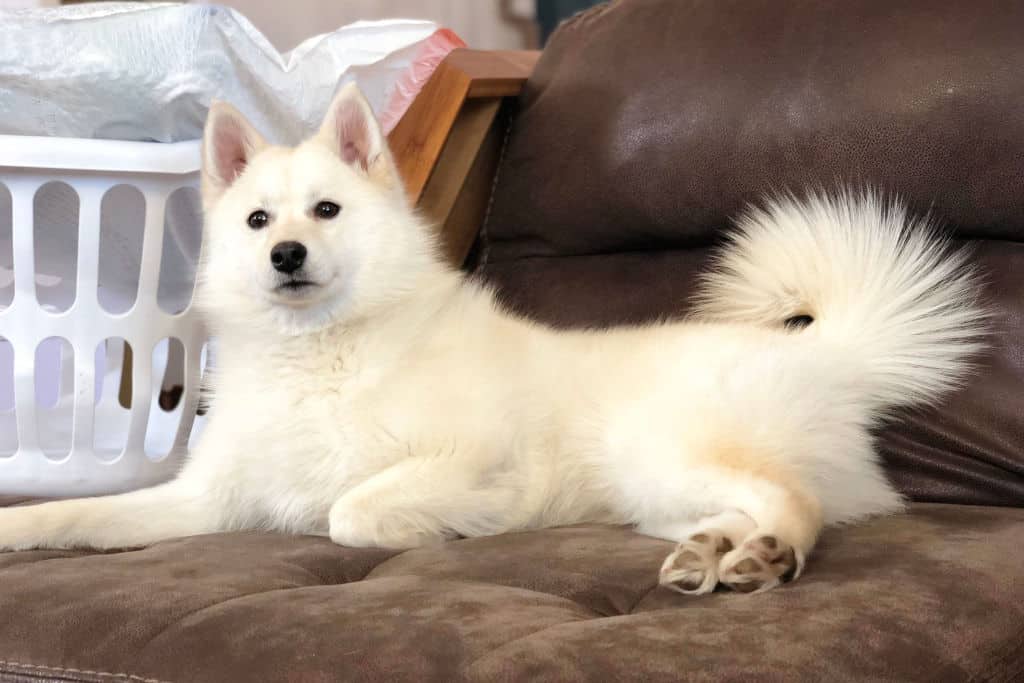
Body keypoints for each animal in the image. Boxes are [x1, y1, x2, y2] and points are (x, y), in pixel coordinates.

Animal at [2, 85, 991, 593]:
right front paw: (22, 526)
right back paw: (714, 551)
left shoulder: (472, 458)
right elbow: (81, 517)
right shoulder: (203, 501)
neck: (324, 354)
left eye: (326, 210)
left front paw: (434, 530)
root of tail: (825, 354)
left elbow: (349, 508)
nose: (286, 254)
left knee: (798, 502)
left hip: (659, 444)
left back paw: (766, 554)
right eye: (255, 220)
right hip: (652, 488)